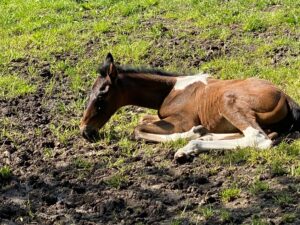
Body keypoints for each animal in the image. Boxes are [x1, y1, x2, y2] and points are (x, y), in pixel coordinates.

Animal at [79, 53, 300, 161]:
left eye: (102, 95)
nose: (85, 131)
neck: (171, 89)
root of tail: (284, 96)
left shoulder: (182, 120)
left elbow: (137, 129)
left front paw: (190, 134)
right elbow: (142, 119)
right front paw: (198, 132)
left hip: (228, 102)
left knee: (259, 138)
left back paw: (191, 144)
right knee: (261, 135)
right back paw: (198, 140)